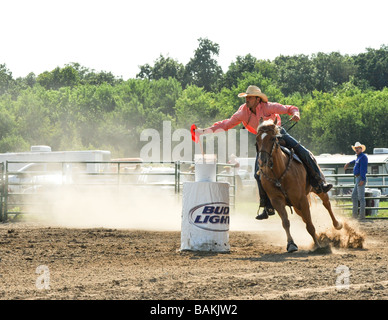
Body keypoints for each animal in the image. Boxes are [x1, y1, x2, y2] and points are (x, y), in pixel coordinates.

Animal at [256, 118, 344, 252]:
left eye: (272, 138)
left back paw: (337, 224)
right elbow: (286, 222)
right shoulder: (277, 201)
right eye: (257, 140)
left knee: (326, 204)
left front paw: (318, 245)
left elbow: (310, 225)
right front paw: (291, 244)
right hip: (296, 206)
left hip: (317, 190)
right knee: (304, 217)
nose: (262, 161)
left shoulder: (302, 199)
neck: (279, 174)